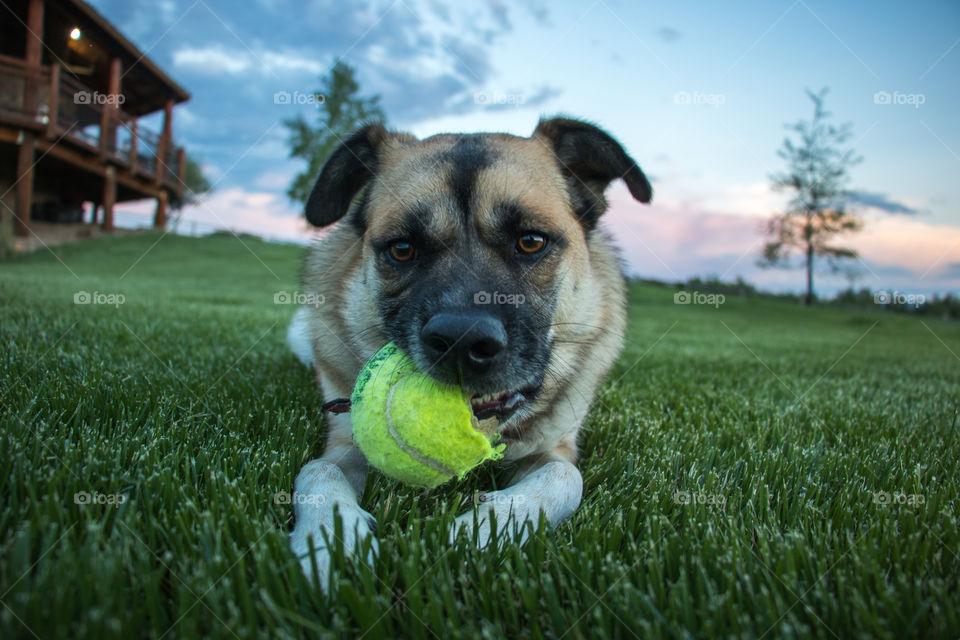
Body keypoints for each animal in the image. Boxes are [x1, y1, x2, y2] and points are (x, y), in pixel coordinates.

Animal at [286, 115, 652, 584]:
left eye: (531, 241)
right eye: (402, 248)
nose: (462, 341)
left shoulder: (556, 448)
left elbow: (565, 477)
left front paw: (483, 529)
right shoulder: (342, 441)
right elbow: (318, 470)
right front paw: (331, 540)